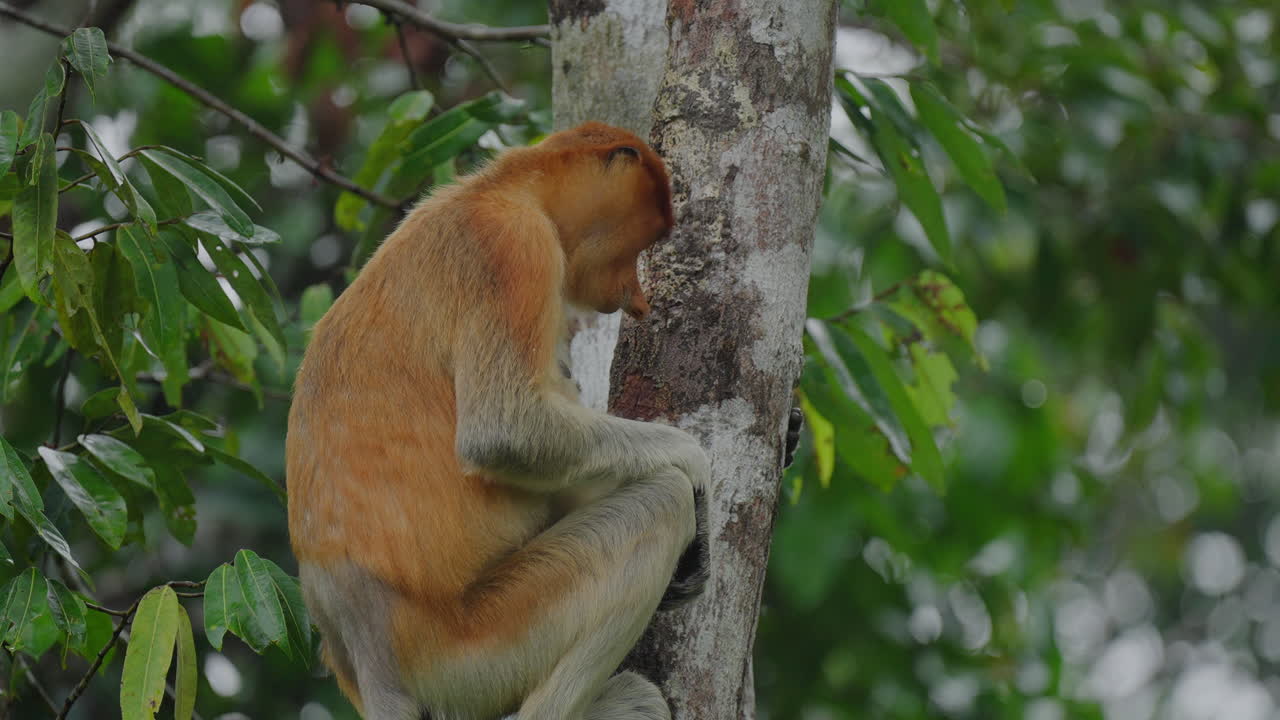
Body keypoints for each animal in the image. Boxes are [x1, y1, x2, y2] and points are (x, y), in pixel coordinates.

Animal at [286, 122, 710, 720]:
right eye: (640, 244)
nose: (637, 299)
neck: (504, 188)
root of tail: (371, 660)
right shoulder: (515, 247)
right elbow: (506, 433)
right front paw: (698, 467)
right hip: (470, 652)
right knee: (660, 505)